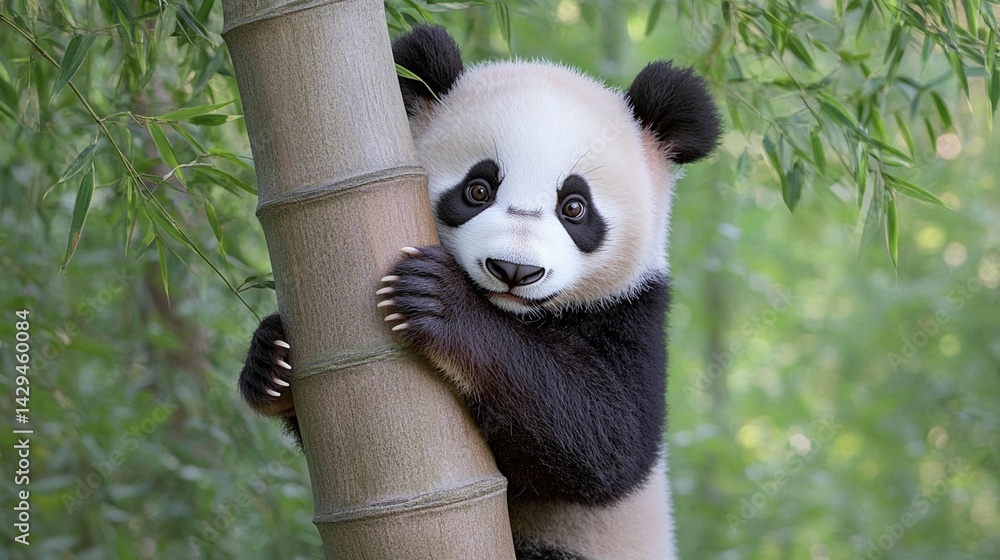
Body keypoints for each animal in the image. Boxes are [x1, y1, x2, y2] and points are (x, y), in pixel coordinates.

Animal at [239, 25, 720, 560]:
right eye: (478, 190)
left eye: (574, 207)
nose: (514, 269)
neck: (516, 313)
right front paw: (270, 360)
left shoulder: (633, 309)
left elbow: (609, 441)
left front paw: (440, 301)